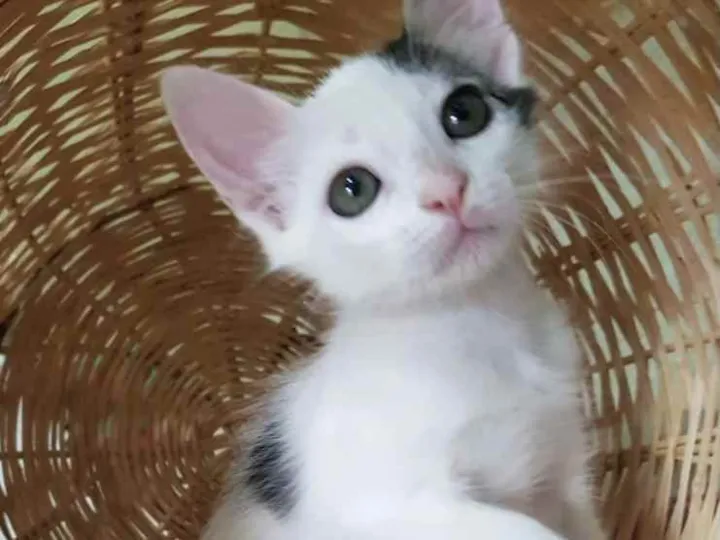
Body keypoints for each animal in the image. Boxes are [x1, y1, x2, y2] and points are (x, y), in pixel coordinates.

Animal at [160, 0, 606, 538]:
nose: (447, 191)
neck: (479, 325)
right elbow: (528, 531)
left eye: (465, 113)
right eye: (351, 189)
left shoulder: (566, 464)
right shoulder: (382, 506)